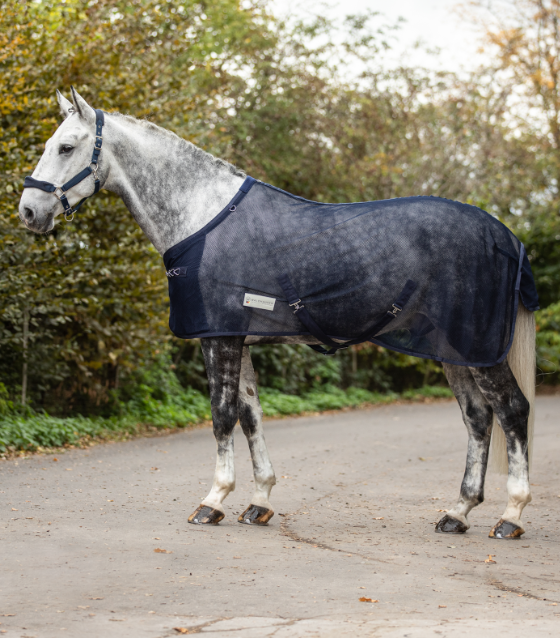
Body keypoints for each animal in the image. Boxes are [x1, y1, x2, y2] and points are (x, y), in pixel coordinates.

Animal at [18, 89, 540, 540]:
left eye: (66, 146)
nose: (28, 212)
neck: (202, 215)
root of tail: (505, 235)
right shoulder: (237, 338)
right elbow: (250, 416)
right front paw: (259, 501)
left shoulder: (218, 339)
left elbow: (222, 415)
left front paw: (213, 501)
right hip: (457, 352)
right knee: (478, 418)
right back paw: (458, 512)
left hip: (480, 349)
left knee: (512, 411)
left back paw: (511, 516)